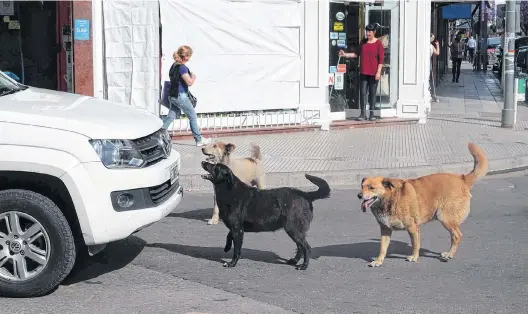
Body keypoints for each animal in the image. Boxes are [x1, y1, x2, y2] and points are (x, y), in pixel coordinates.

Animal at [201, 162, 330, 270]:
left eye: (215, 167)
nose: (203, 161)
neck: (229, 190)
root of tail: (305, 195)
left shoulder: (238, 230)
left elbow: (236, 250)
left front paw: (232, 263)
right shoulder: (237, 228)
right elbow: (229, 236)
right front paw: (227, 247)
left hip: (292, 229)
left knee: (306, 247)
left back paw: (304, 266)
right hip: (295, 230)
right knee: (300, 247)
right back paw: (294, 261)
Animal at [358, 142, 486, 268]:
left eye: (371, 188)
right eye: (362, 186)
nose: (359, 195)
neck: (390, 199)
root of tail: (461, 178)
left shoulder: (413, 228)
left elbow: (415, 245)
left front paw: (414, 257)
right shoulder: (385, 230)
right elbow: (382, 248)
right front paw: (379, 261)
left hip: (445, 218)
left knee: (457, 236)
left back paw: (449, 254)